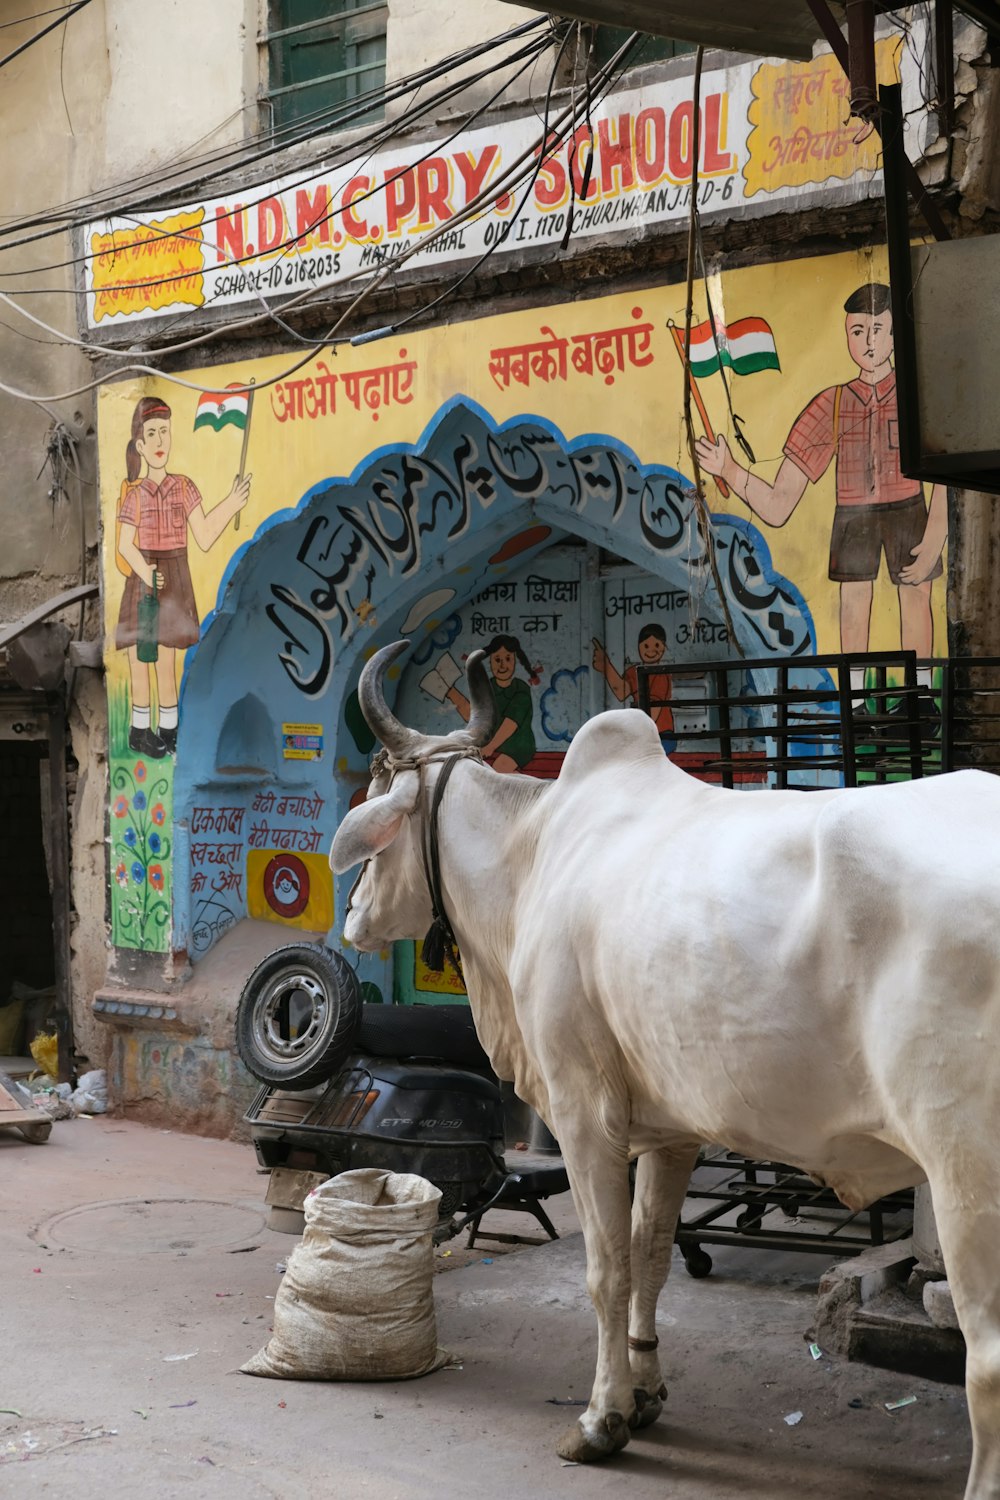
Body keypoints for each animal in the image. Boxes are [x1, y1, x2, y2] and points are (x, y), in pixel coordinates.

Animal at [332, 639, 995, 1494]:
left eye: (381, 783)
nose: (353, 917)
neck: (532, 851)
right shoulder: (672, 1129)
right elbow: (651, 1256)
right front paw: (645, 1391)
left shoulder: (583, 1110)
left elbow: (606, 1268)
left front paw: (602, 1417)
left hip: (966, 1173)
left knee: (987, 1357)